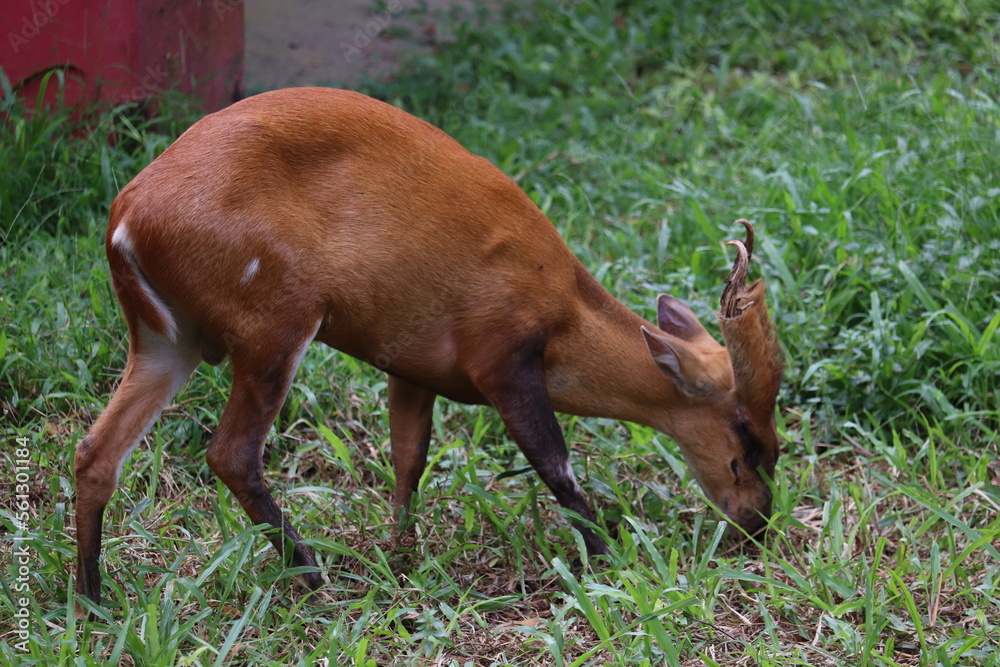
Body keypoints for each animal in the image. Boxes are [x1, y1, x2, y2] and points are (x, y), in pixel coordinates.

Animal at [74, 87, 783, 613]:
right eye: (749, 441)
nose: (757, 526)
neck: (566, 312)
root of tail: (126, 220)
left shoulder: (411, 364)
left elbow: (408, 460)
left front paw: (403, 557)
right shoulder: (501, 356)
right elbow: (555, 464)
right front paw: (611, 556)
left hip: (168, 341)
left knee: (96, 451)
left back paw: (91, 599)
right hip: (274, 320)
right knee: (230, 453)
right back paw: (312, 576)